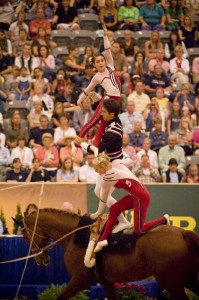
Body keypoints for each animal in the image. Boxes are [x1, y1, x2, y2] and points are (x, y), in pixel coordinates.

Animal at [15, 209, 199, 300]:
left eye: (25, 236)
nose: (41, 259)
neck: (75, 235)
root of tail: (183, 233)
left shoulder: (79, 281)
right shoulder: (106, 283)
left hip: (172, 283)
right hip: (188, 280)